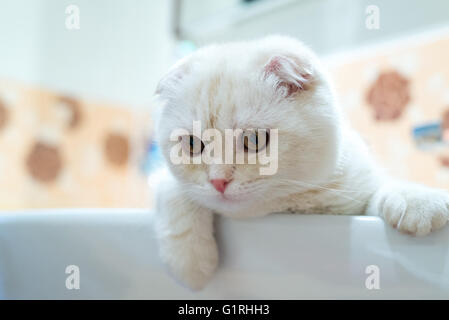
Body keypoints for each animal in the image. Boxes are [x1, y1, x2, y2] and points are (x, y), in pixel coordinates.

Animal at [151, 35, 448, 290]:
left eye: (253, 139)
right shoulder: (166, 180)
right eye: (192, 144)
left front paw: (418, 200)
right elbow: (172, 189)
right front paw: (189, 260)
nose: (218, 181)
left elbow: (382, 189)